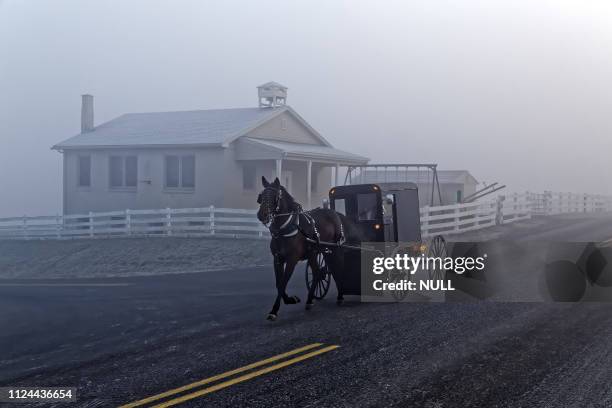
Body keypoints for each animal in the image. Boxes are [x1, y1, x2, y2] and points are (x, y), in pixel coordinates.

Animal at [256, 177, 360, 320]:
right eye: (262, 196)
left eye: (275, 196)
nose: (262, 214)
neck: (286, 228)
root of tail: (335, 214)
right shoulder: (277, 259)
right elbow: (279, 283)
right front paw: (289, 300)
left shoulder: (292, 260)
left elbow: (283, 282)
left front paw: (275, 310)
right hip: (315, 253)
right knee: (317, 273)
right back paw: (310, 300)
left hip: (335, 249)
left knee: (338, 269)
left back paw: (340, 296)